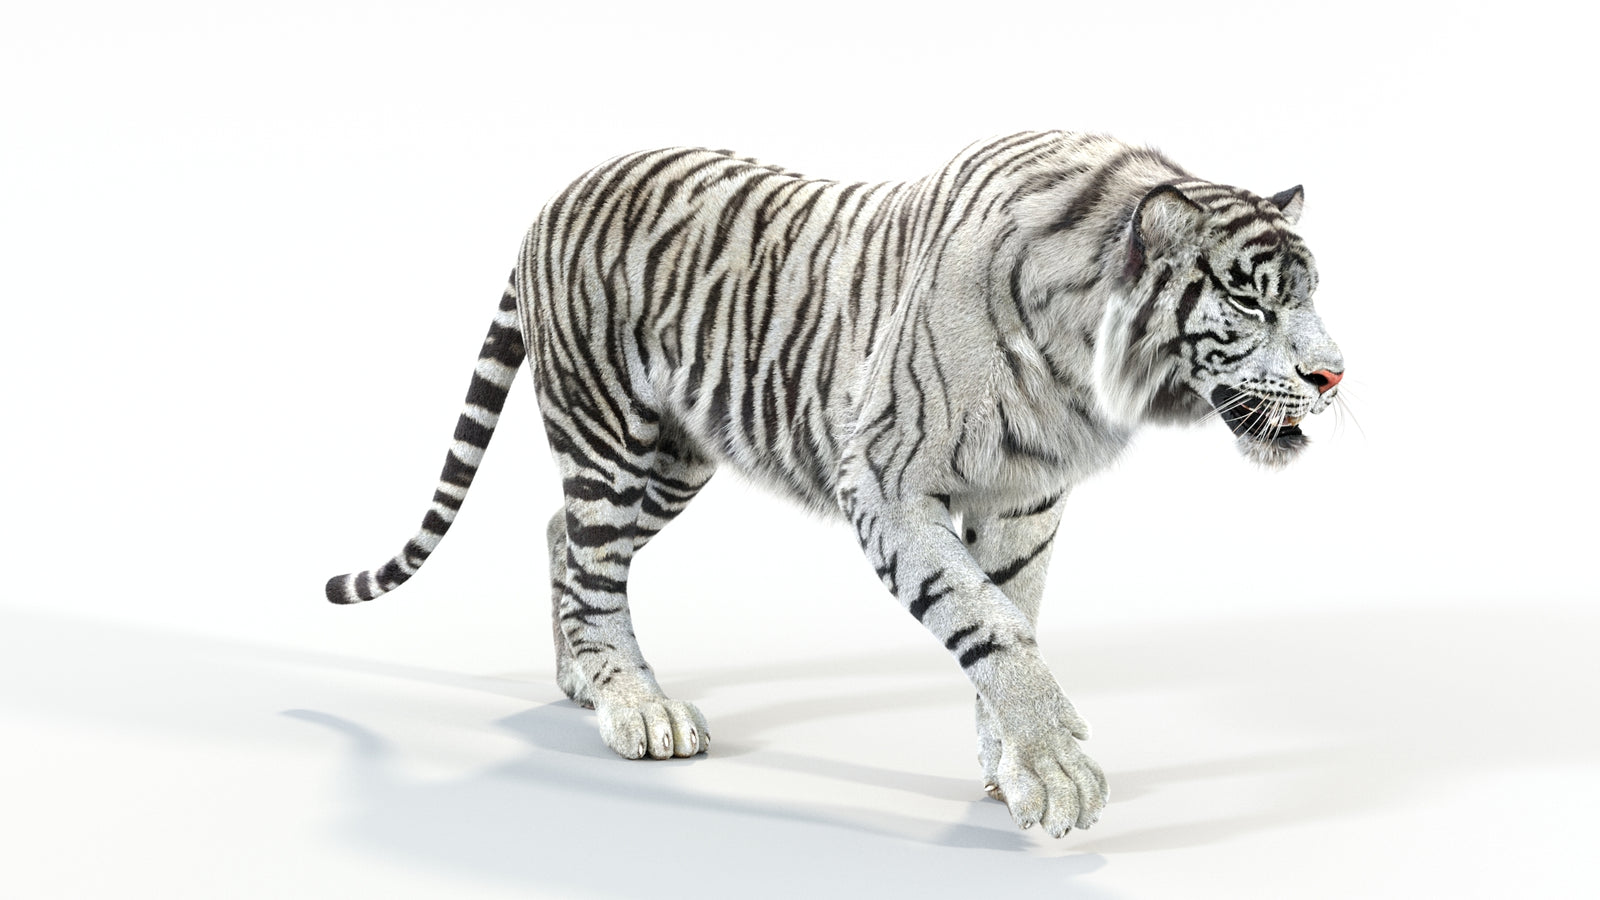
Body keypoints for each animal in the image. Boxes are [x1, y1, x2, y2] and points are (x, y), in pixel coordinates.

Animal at [326, 131, 1345, 838]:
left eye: (1309, 296)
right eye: (1252, 300)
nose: (1335, 374)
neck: (1080, 363)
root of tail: (554, 195)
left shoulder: (1026, 500)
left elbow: (1014, 613)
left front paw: (1013, 769)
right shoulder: (886, 483)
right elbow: (989, 624)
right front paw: (1057, 769)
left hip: (672, 459)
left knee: (560, 537)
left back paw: (583, 677)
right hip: (614, 437)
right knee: (590, 564)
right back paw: (636, 706)